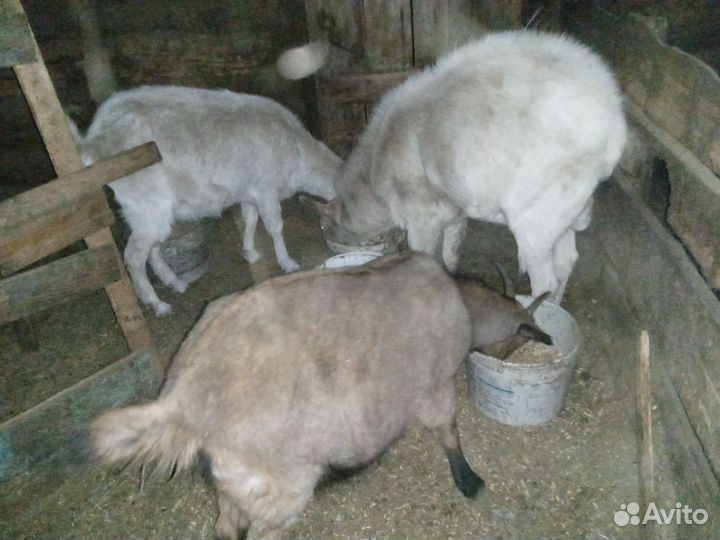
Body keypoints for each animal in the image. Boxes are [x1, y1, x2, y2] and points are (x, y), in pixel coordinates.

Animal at [71, 85, 341, 315]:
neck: (298, 151)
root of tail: (93, 141)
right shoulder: (266, 189)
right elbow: (275, 226)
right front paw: (287, 262)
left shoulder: (249, 191)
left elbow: (250, 219)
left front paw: (250, 252)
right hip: (145, 201)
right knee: (134, 256)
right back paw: (157, 304)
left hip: (147, 212)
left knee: (153, 248)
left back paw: (175, 282)